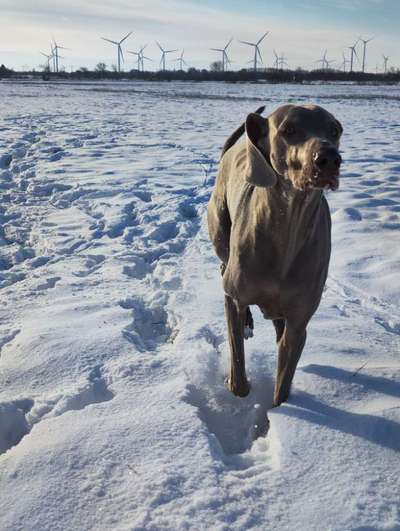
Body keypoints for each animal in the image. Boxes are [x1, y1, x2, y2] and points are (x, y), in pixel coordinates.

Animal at [208, 104, 342, 406]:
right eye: (288, 129)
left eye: (335, 130)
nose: (329, 158)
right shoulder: (235, 296)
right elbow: (237, 365)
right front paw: (237, 385)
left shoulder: (299, 322)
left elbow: (283, 383)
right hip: (220, 230)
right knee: (223, 267)